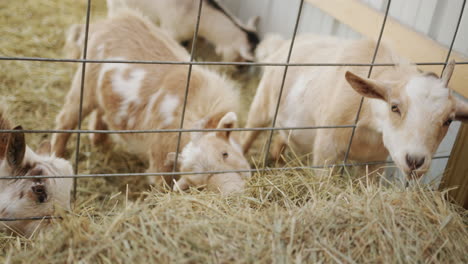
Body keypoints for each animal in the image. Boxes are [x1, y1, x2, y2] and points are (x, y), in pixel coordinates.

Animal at [52, 8, 252, 194]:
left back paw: (101, 146)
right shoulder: (159, 154)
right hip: (84, 83)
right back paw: (58, 156)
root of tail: (101, 25)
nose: (231, 189)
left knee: (101, 116)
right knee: (65, 120)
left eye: (225, 153)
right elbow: (160, 181)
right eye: (200, 180)